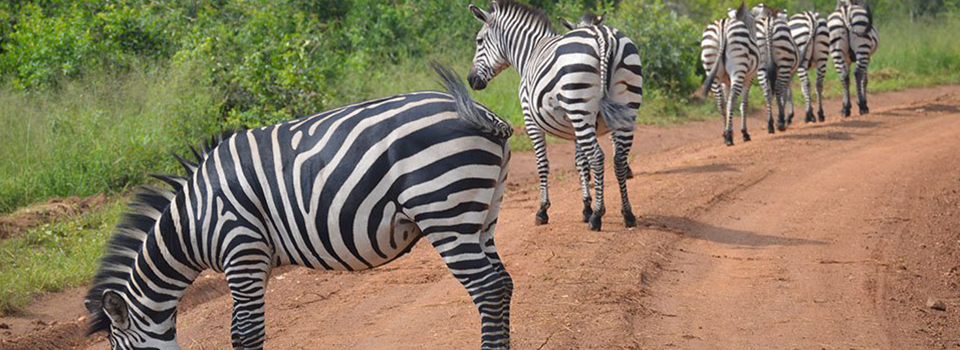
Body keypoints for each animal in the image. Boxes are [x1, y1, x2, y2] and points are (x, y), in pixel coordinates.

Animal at [83, 65, 516, 350]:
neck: (193, 222)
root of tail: (479, 111)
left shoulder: (242, 250)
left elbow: (245, 333)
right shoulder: (252, 260)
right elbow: (244, 330)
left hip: (444, 210)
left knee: (487, 288)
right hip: (483, 214)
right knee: (503, 283)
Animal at [466, 2, 640, 232]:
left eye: (479, 41)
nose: (471, 80)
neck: (530, 53)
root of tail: (604, 36)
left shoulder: (530, 119)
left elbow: (542, 164)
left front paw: (543, 210)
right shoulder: (577, 126)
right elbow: (580, 163)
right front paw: (586, 207)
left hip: (580, 107)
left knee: (597, 157)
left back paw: (597, 217)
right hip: (624, 108)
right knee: (618, 159)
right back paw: (627, 214)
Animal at [700, 2, 760, 146]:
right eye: (754, 24)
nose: (755, 39)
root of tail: (724, 25)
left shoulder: (725, 82)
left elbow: (726, 103)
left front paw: (730, 131)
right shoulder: (749, 79)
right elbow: (744, 104)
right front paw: (744, 133)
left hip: (713, 72)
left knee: (721, 102)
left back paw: (725, 135)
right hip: (738, 71)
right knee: (733, 100)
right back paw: (729, 137)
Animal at [752, 4, 804, 133]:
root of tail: (769, 21)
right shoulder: (789, 74)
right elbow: (786, 94)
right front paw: (786, 117)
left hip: (761, 66)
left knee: (767, 90)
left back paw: (770, 124)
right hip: (784, 64)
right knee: (778, 88)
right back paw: (780, 122)